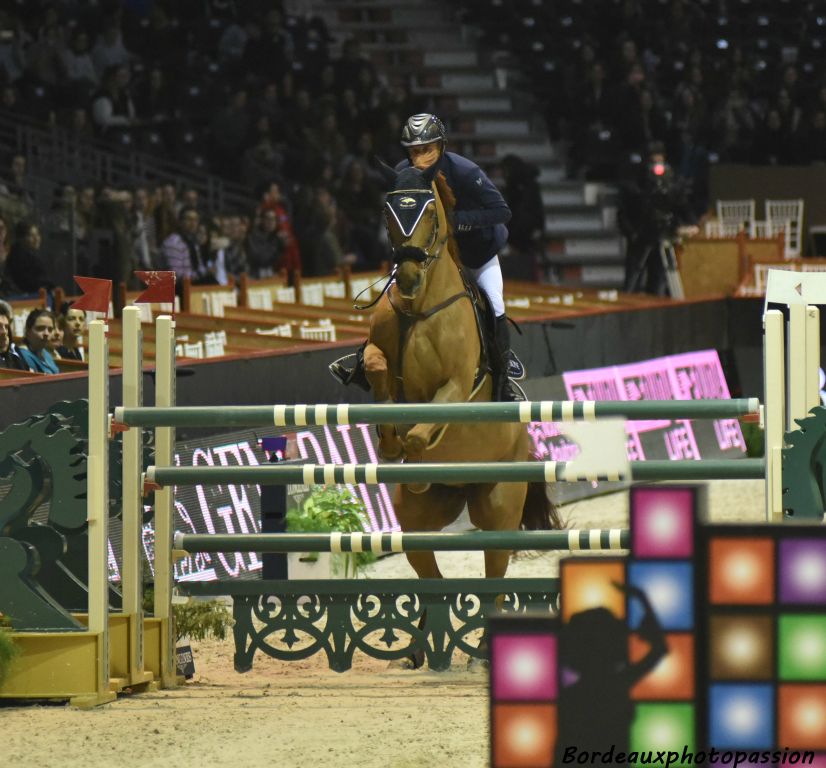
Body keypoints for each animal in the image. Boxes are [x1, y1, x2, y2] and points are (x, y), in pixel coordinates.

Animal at [366, 164, 564, 592]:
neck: (420, 307)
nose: (407, 277)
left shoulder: (455, 385)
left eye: (430, 213)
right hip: (419, 525)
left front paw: (412, 455)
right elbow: (376, 370)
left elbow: (420, 432)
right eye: (387, 213)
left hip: (497, 510)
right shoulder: (378, 351)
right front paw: (388, 443)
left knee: (495, 575)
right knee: (428, 568)